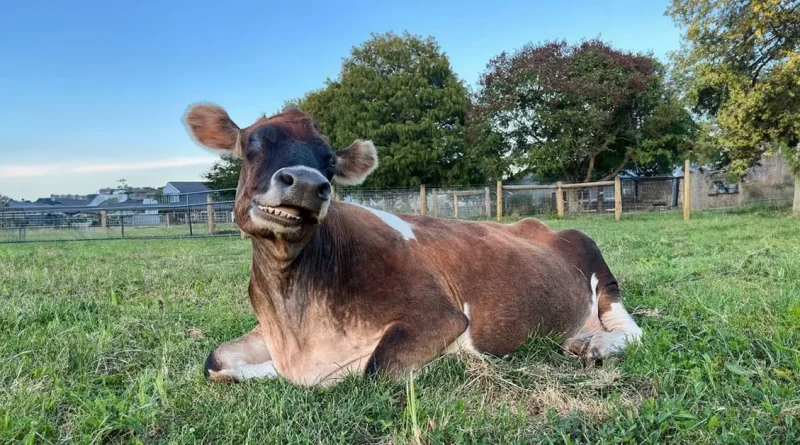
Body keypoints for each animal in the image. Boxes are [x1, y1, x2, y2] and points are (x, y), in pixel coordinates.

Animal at [183, 103, 644, 386]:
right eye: (252, 145)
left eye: (329, 161)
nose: (308, 184)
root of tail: (538, 223)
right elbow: (216, 361)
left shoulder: (440, 316)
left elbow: (367, 369)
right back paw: (579, 341)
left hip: (598, 265)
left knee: (629, 327)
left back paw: (600, 344)